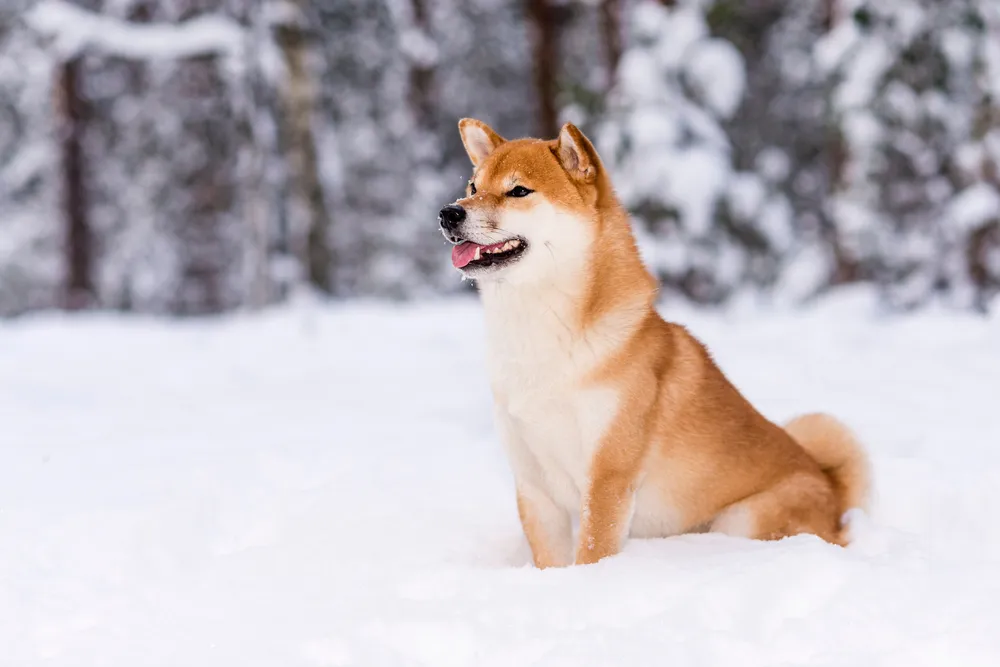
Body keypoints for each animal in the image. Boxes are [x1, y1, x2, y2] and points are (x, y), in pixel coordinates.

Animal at [438, 117, 868, 568]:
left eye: (518, 190)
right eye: (472, 186)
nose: (449, 213)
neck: (543, 337)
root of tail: (833, 495)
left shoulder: (608, 476)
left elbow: (592, 550)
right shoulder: (534, 483)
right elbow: (550, 557)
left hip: (743, 517)